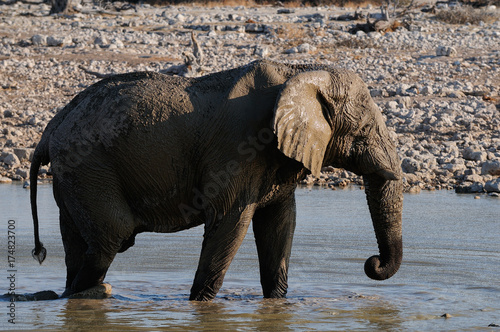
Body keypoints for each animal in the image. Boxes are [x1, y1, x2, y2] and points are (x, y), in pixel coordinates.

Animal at [30, 59, 402, 300]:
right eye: (365, 130)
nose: (372, 263)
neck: (300, 72)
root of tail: (51, 128)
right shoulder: (238, 149)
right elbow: (230, 224)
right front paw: (200, 306)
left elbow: (280, 224)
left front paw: (277, 305)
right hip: (88, 167)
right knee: (112, 237)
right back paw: (86, 294)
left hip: (74, 174)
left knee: (80, 244)